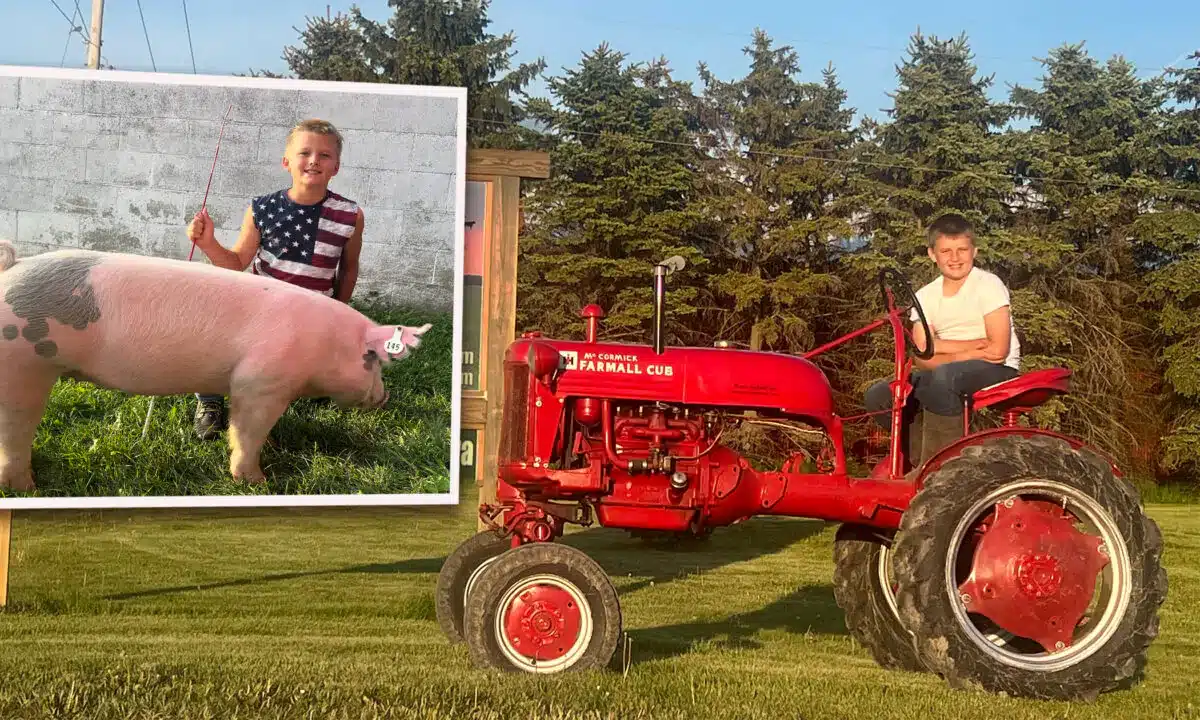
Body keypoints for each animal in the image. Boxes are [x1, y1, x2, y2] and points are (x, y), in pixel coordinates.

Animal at [0, 238, 432, 492]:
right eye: (373, 360)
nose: (385, 397)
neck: (323, 344)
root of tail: (13, 268)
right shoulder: (259, 382)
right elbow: (246, 430)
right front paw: (257, 482)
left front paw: (273, 447)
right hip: (23, 365)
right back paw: (26, 488)